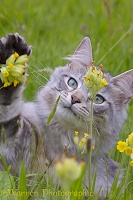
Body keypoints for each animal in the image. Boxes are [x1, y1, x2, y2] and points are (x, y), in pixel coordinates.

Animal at [0, 32, 133, 198]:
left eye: (97, 99)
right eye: (72, 83)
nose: (75, 98)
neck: (63, 139)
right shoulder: (13, 152)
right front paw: (12, 57)